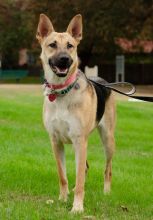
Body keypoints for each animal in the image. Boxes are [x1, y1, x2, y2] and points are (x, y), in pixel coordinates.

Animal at [35, 14, 115, 213]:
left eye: (70, 46)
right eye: (52, 44)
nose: (64, 59)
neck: (61, 91)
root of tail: (103, 80)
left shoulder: (79, 140)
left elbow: (79, 179)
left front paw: (77, 207)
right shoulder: (56, 141)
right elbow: (63, 176)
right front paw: (63, 199)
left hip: (108, 140)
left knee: (107, 169)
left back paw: (106, 192)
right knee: (85, 167)